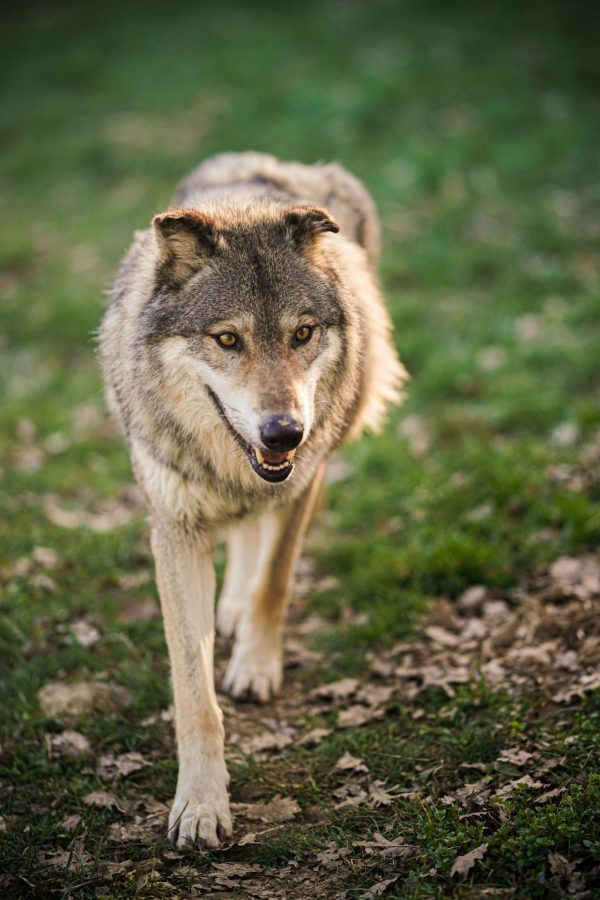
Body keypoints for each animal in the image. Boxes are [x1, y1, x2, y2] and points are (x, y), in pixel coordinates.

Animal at [99, 151, 407, 848]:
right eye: (227, 340)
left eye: (302, 333)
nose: (283, 432)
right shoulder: (174, 529)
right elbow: (193, 691)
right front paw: (200, 806)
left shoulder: (304, 480)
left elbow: (275, 580)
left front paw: (257, 667)